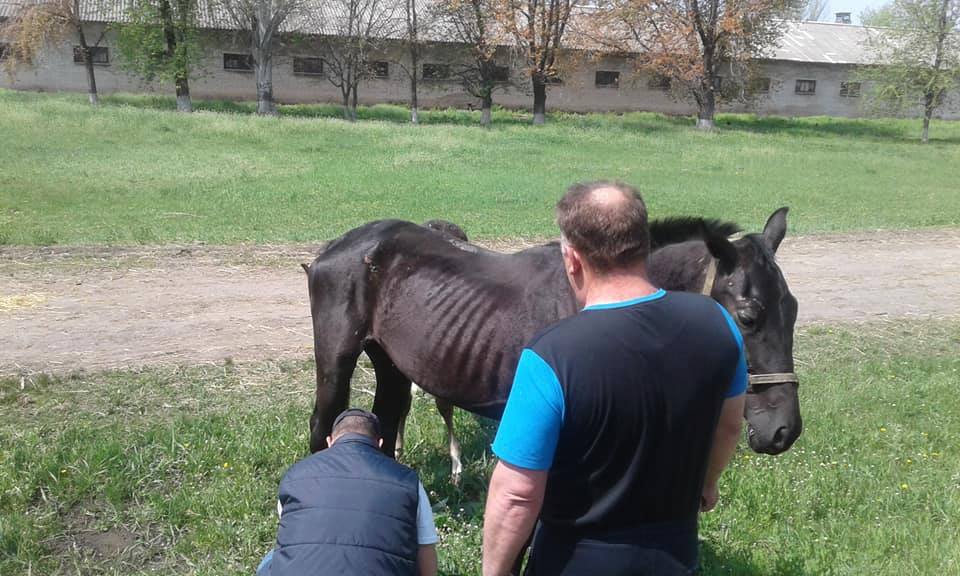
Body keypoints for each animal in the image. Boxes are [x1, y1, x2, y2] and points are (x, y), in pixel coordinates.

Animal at [304, 209, 800, 462]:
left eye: (792, 311)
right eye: (748, 318)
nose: (784, 431)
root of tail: (337, 246)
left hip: (389, 362)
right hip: (337, 361)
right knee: (322, 424)